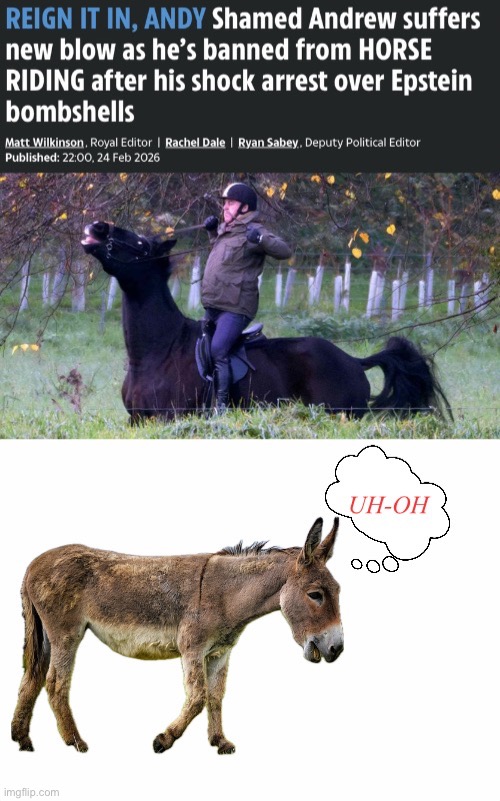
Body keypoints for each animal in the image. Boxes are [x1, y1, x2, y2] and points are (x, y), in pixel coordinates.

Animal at [12, 518, 343, 754]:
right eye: (315, 595)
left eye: (339, 591)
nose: (337, 649)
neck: (225, 594)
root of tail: (32, 565)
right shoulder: (191, 649)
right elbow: (197, 697)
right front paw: (164, 739)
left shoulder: (219, 653)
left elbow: (216, 696)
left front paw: (220, 741)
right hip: (66, 634)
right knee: (55, 684)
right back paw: (75, 742)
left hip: (47, 634)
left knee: (32, 677)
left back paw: (22, 739)